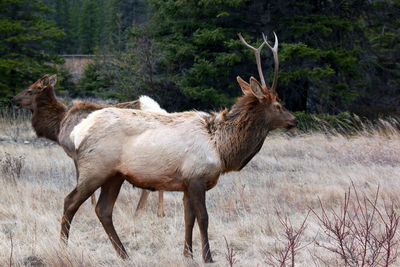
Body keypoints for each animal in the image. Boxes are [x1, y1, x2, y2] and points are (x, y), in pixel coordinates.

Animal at [63, 32, 296, 262]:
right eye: (278, 105)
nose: (293, 120)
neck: (221, 148)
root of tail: (77, 131)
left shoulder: (186, 183)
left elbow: (188, 218)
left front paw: (187, 254)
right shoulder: (196, 177)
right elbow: (203, 218)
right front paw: (207, 257)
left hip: (115, 176)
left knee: (103, 210)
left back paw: (124, 254)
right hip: (94, 169)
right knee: (70, 202)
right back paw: (63, 247)